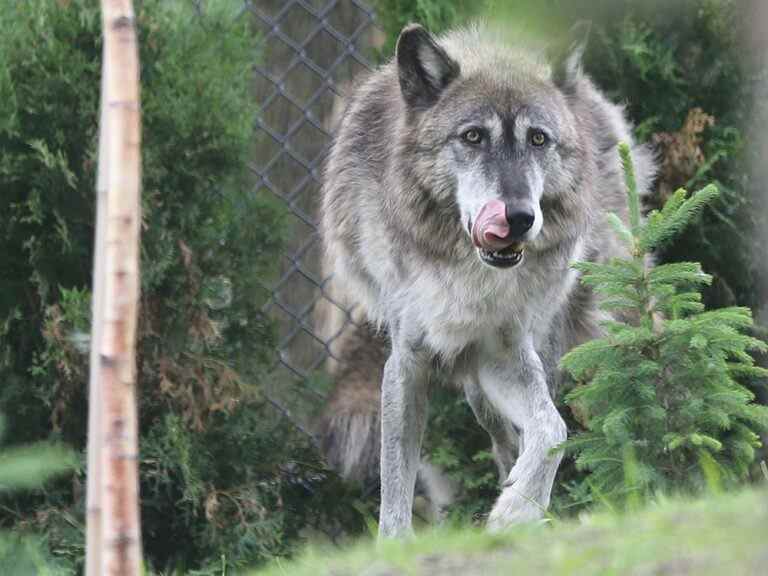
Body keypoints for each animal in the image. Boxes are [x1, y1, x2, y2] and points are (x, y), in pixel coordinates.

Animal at [318, 21, 656, 536]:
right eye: (473, 136)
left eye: (538, 139)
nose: (518, 217)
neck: (467, 272)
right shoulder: (406, 363)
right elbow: (395, 487)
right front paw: (397, 543)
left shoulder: (505, 353)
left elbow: (552, 429)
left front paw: (518, 509)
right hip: (478, 390)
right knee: (503, 440)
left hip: (567, 340)